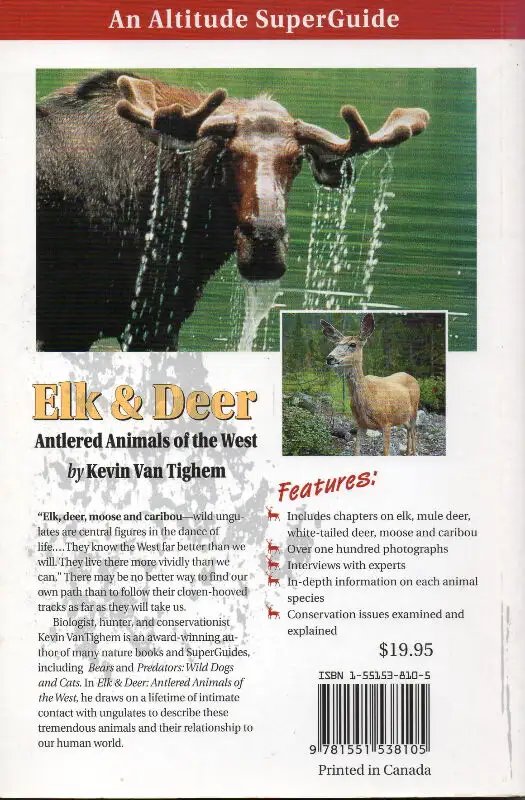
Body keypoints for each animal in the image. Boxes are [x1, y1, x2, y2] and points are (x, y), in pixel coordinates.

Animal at [321, 314, 420, 456]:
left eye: (352, 344)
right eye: (336, 344)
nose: (330, 358)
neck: (368, 396)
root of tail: (411, 376)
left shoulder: (386, 422)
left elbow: (386, 453)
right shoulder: (360, 423)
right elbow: (356, 451)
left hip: (415, 408)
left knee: (414, 430)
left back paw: (414, 452)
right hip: (402, 416)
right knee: (408, 430)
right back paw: (407, 452)